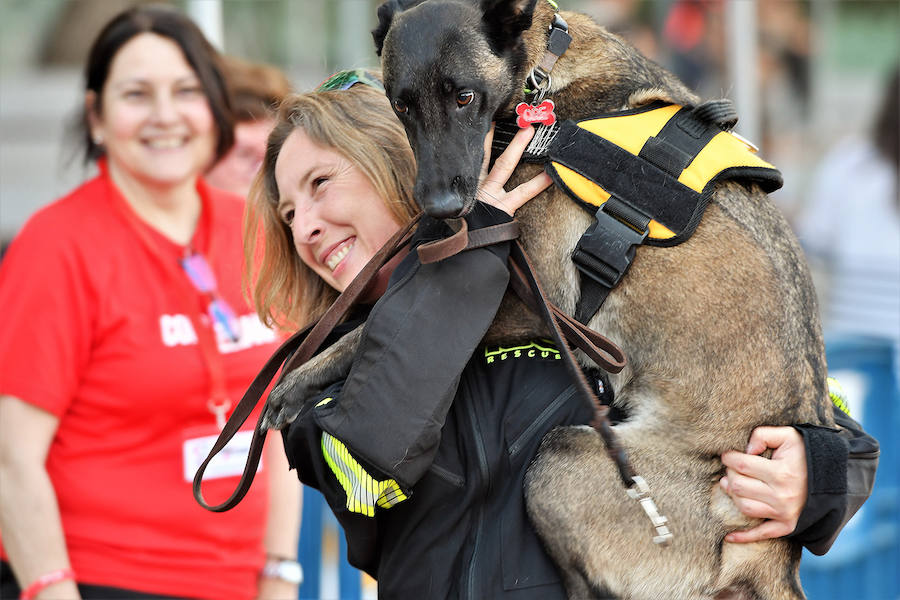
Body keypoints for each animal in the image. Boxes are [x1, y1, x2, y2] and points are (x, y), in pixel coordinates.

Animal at [264, 2, 832, 596]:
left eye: (463, 97)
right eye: (402, 105)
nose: (439, 207)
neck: (541, 80)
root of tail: (771, 553)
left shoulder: (539, 298)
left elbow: (369, 325)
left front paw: (299, 376)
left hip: (563, 463)